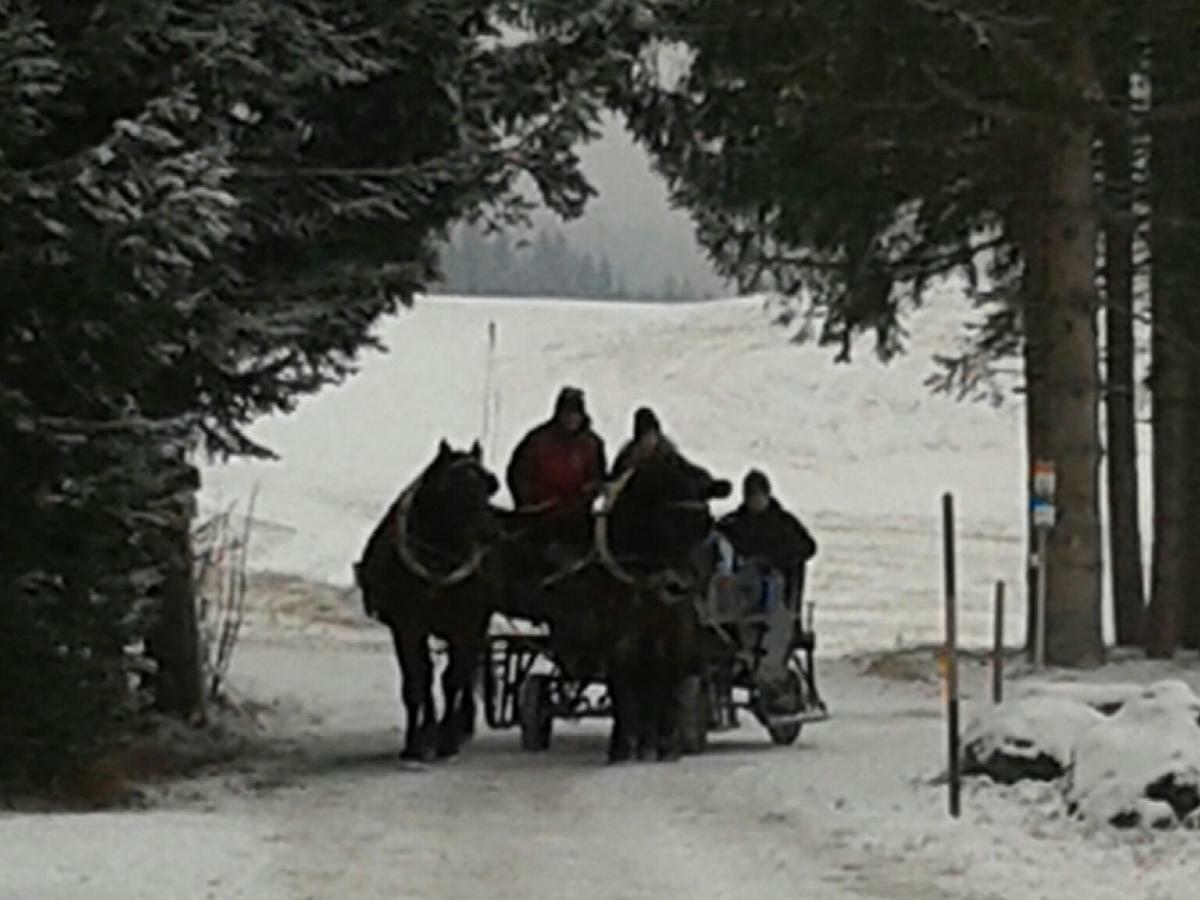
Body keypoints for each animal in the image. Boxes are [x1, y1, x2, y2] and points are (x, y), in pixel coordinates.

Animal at [350, 441, 496, 763]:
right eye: (452, 488)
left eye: (488, 485)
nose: (492, 533)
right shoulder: (407, 626)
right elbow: (417, 680)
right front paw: (415, 743)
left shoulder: (465, 625)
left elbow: (453, 679)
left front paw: (448, 740)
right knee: (429, 674)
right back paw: (430, 728)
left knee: (466, 670)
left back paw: (460, 725)